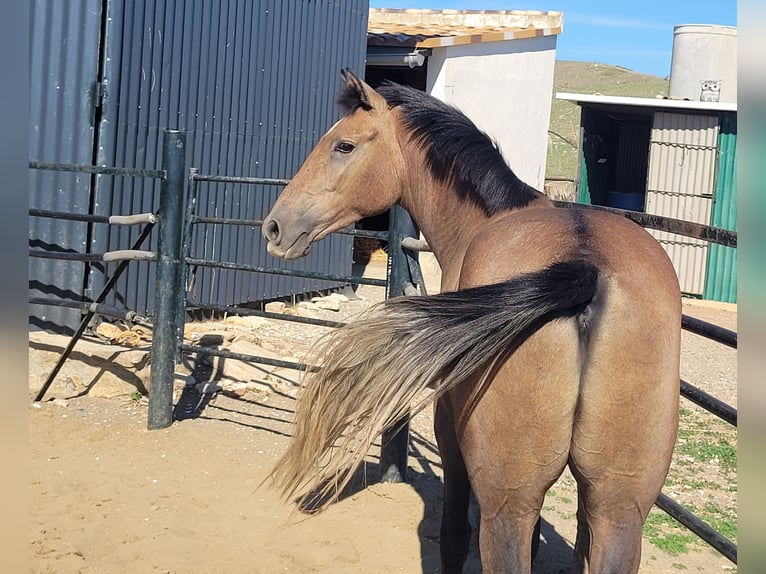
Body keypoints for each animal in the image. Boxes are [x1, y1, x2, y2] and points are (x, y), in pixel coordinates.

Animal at [260, 71, 680, 574]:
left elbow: (455, 535)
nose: (274, 227)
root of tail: (585, 267)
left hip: (508, 505)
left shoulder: (450, 432)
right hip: (619, 507)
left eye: (343, 145)